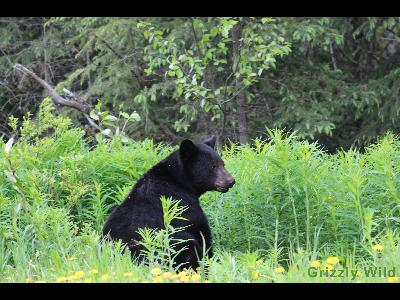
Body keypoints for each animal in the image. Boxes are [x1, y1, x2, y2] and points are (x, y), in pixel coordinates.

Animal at [102, 136, 234, 270]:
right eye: (213, 166)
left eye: (223, 163)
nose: (231, 181)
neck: (179, 182)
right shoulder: (180, 204)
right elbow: (201, 230)